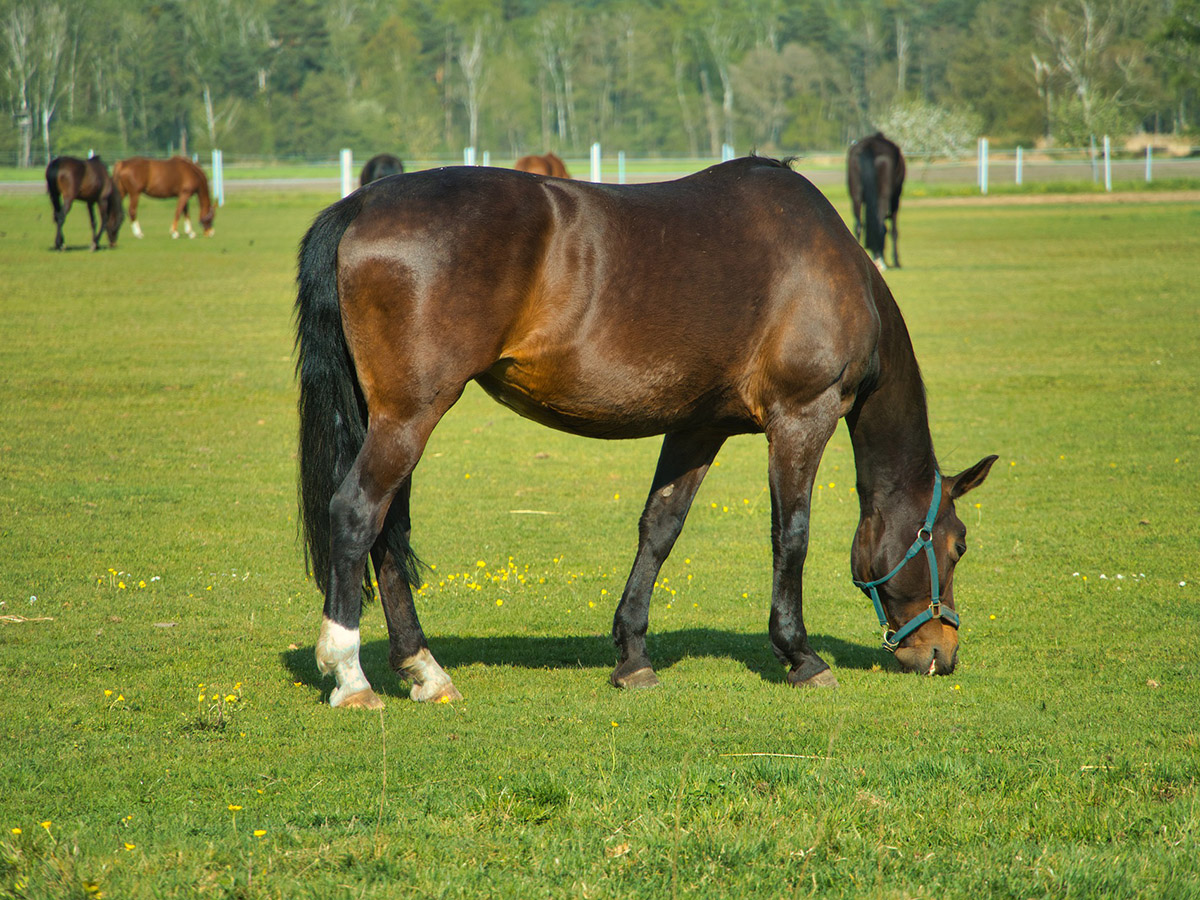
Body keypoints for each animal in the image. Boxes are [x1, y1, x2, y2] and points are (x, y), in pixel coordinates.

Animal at [297, 158, 993, 715]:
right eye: (957, 545)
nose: (943, 652)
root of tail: (362, 203)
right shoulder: (803, 416)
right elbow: (790, 536)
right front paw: (800, 656)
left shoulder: (698, 426)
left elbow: (659, 529)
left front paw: (632, 655)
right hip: (410, 415)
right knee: (358, 513)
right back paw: (350, 675)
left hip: (395, 418)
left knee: (387, 529)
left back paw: (424, 669)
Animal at [849, 132, 902, 270]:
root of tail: (870, 145)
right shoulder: (895, 199)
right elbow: (893, 231)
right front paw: (896, 261)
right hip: (885, 196)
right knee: (881, 226)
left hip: (856, 195)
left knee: (859, 225)